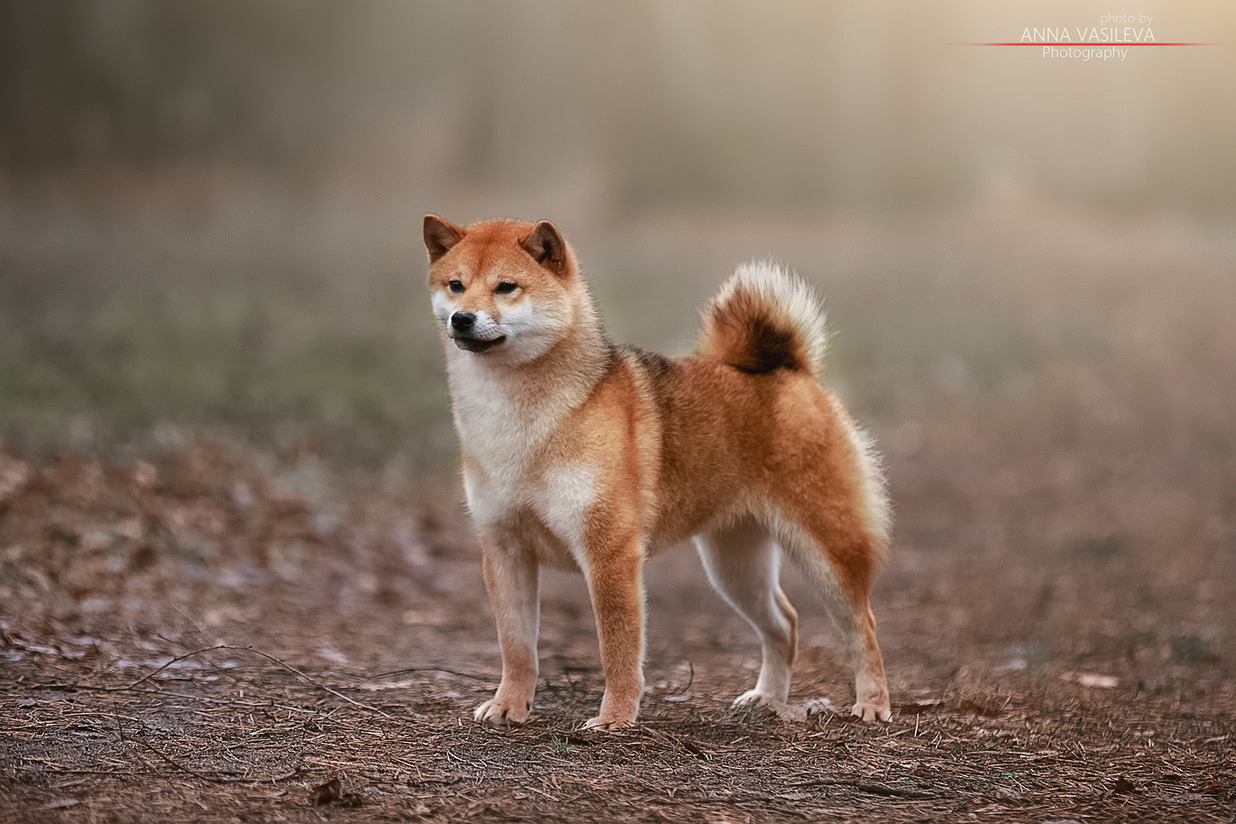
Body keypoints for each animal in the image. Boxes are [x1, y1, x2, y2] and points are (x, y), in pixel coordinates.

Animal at [422, 216, 889, 731]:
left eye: (506, 287)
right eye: (456, 285)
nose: (461, 318)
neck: (522, 422)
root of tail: (791, 369)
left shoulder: (609, 552)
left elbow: (617, 650)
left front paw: (614, 720)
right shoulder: (504, 549)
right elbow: (516, 646)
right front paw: (509, 706)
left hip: (827, 553)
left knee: (863, 627)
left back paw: (872, 704)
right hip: (733, 566)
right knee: (784, 624)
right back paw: (767, 699)